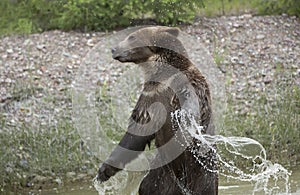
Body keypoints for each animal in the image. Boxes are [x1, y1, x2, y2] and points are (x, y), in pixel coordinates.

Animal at [98, 26, 218, 195]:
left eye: (132, 37)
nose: (114, 49)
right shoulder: (151, 96)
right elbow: (137, 132)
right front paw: (104, 170)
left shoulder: (178, 86)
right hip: (162, 174)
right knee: (147, 186)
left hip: (202, 174)